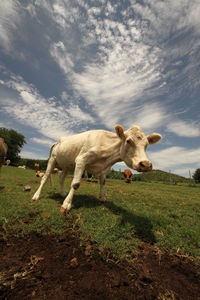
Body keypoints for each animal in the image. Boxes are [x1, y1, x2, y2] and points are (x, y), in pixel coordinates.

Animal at [32, 124, 162, 213]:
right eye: (128, 141)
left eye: (146, 145)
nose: (146, 164)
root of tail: (57, 141)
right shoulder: (81, 160)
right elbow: (75, 184)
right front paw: (66, 204)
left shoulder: (104, 169)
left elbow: (103, 183)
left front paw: (102, 197)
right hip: (52, 159)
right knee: (45, 177)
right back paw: (36, 196)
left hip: (67, 165)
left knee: (61, 177)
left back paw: (63, 193)